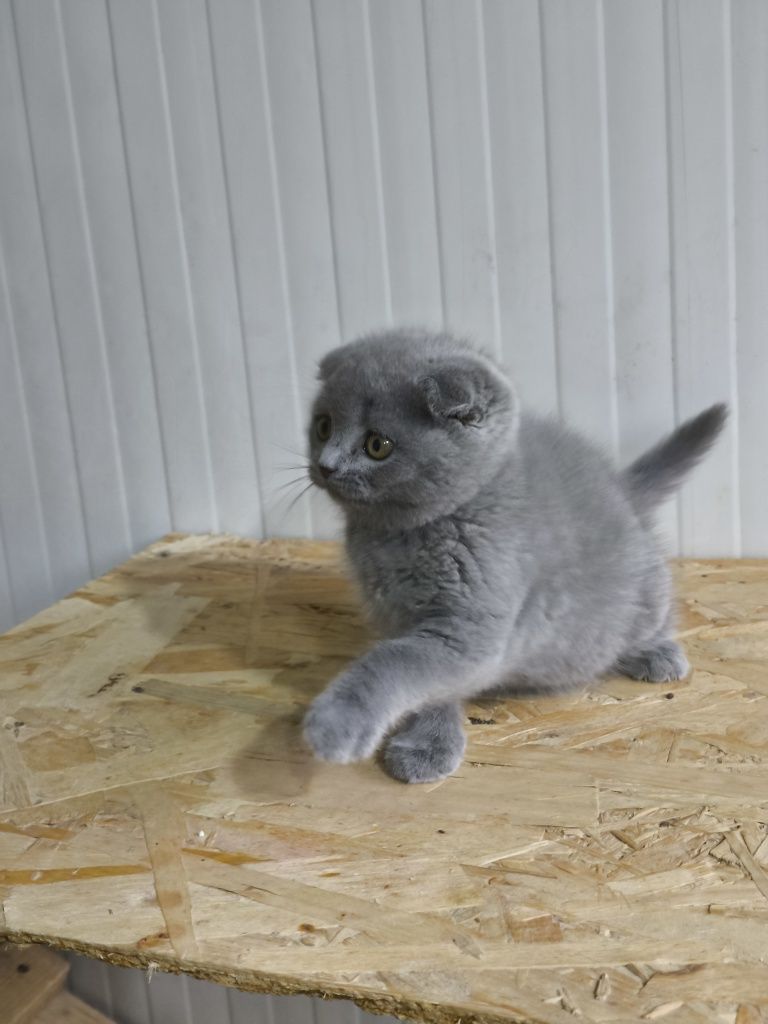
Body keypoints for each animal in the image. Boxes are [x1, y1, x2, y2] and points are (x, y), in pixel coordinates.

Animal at [303, 327, 729, 782]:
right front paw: (428, 744)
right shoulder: (395, 618)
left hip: (641, 589)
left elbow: (393, 665)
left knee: (656, 608)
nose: (326, 466)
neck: (398, 536)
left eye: (377, 445)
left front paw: (336, 722)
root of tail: (622, 488)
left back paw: (657, 652)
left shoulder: (467, 630)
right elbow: (426, 686)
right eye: (323, 426)